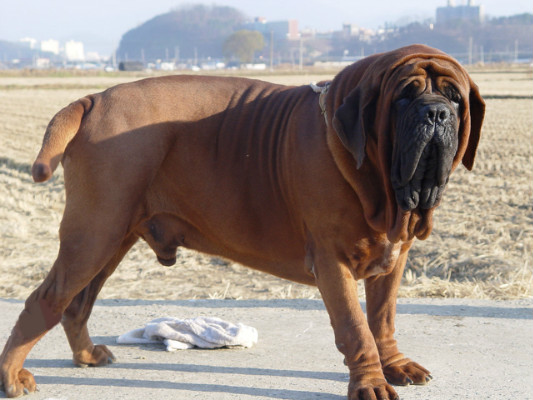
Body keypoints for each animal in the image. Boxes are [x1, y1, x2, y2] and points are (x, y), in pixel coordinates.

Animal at [0, 44, 482, 400]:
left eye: (455, 98)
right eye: (404, 96)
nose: (436, 112)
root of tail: (94, 98)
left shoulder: (392, 261)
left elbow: (382, 320)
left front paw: (393, 365)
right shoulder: (334, 263)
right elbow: (355, 328)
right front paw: (370, 383)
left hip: (111, 239)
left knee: (76, 304)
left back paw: (85, 356)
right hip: (93, 236)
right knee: (45, 300)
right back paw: (11, 376)